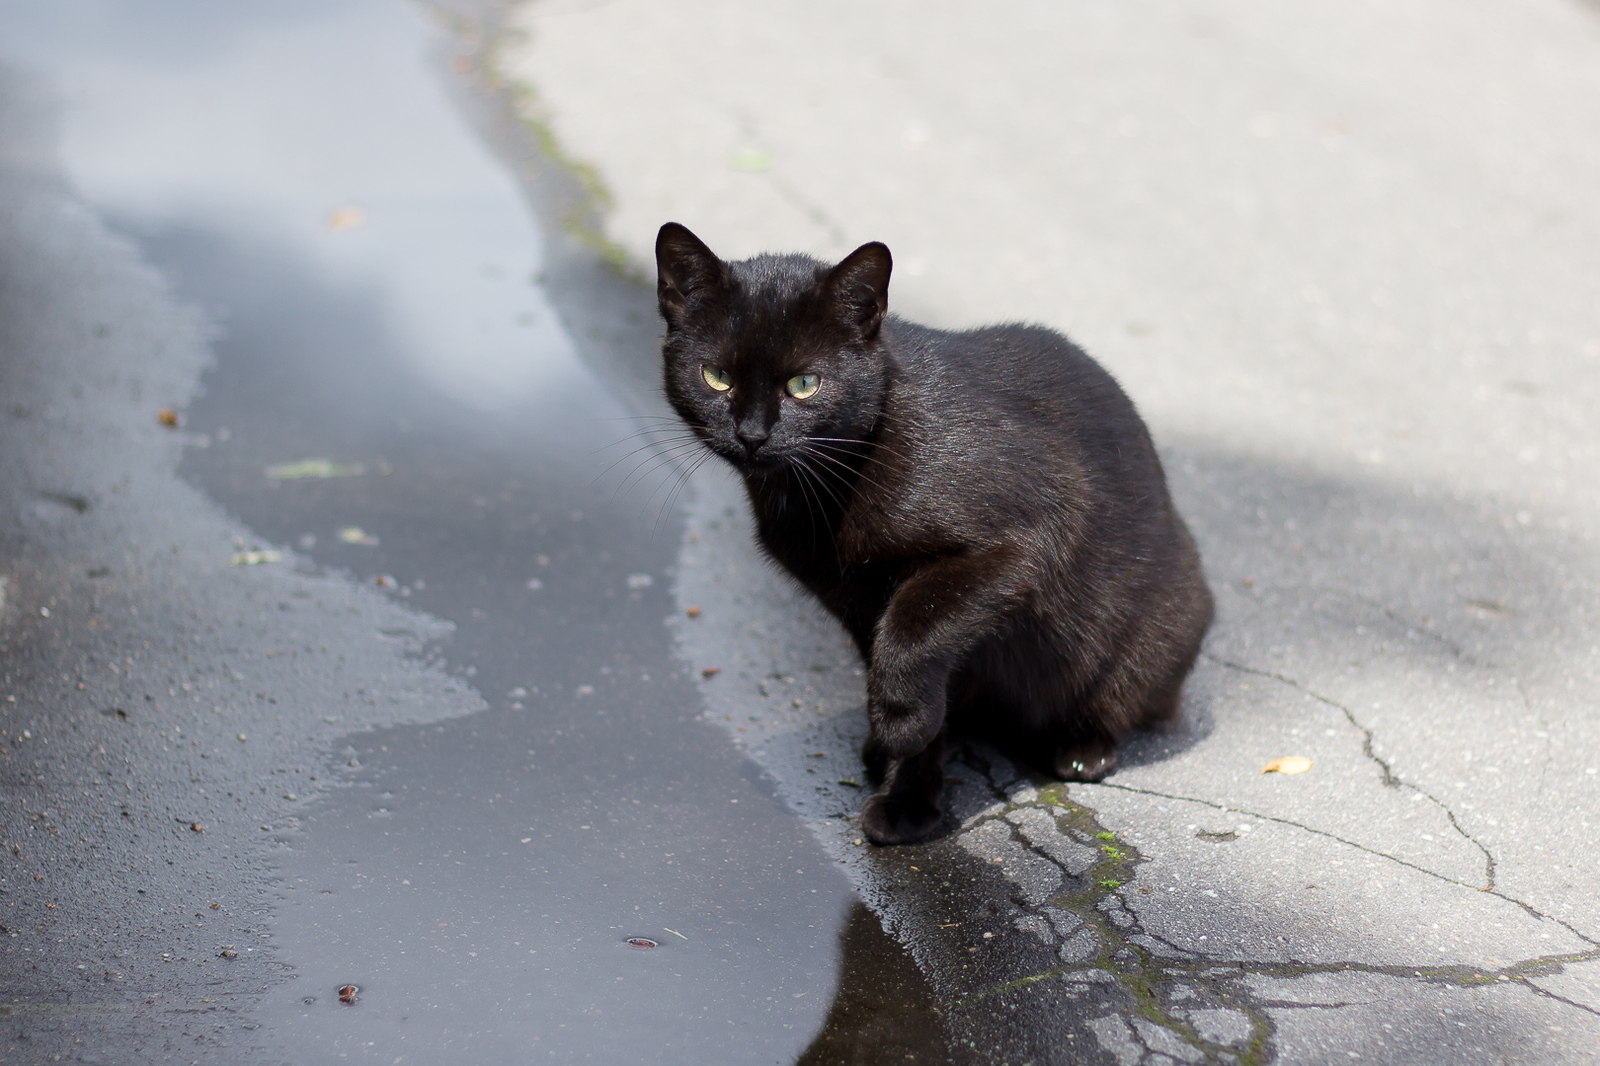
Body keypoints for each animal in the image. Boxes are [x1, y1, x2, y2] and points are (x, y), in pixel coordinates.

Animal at [656, 219, 1203, 845]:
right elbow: (909, 666)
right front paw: (906, 785)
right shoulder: (856, 601)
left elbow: (912, 632)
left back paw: (1082, 746)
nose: (751, 434)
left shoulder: (1031, 530)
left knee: (1124, 698)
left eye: (805, 384)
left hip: (1158, 628)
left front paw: (899, 735)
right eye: (716, 377)